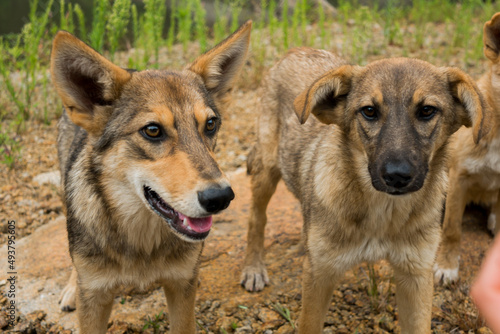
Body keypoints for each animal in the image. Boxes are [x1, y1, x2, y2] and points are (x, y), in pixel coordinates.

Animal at [240, 48, 490, 332]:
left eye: (427, 110)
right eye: (369, 111)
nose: (397, 176)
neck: (383, 215)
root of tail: (297, 50)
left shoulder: (416, 275)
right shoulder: (319, 277)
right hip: (267, 168)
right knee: (256, 218)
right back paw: (254, 267)